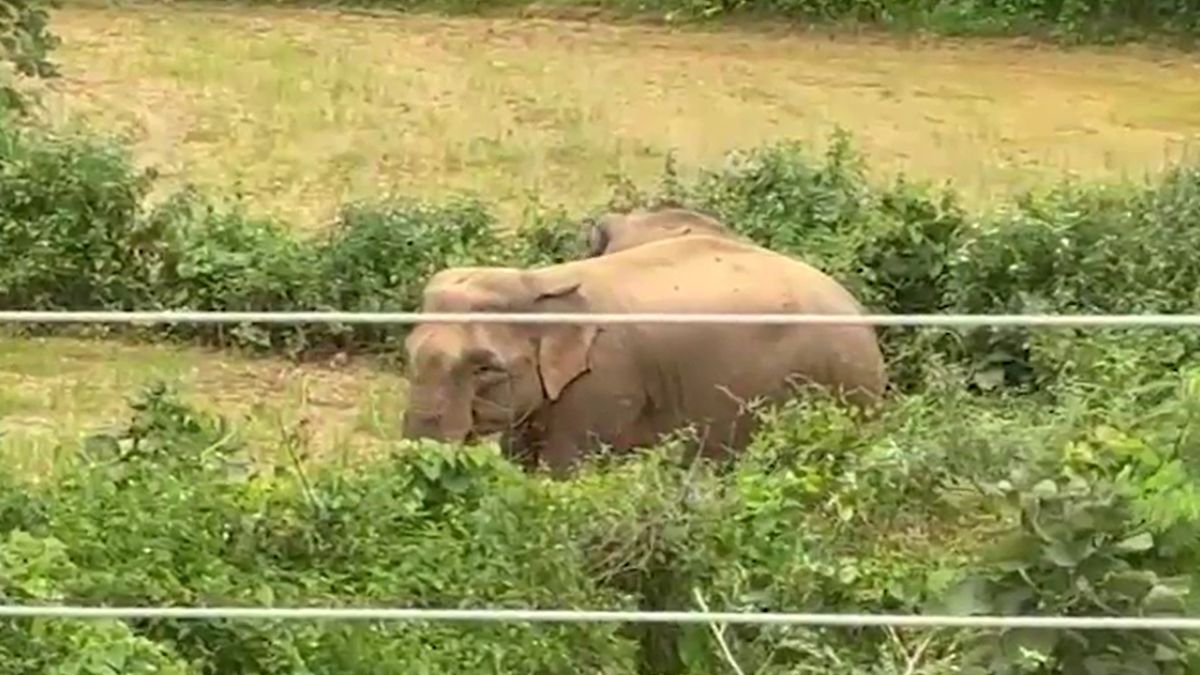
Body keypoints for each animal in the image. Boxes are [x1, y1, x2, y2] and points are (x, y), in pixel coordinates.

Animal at [400, 233, 887, 476]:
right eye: (408, 355)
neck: (538, 281)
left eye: (485, 368)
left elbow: (567, 469)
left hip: (846, 389)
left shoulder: (605, 383)